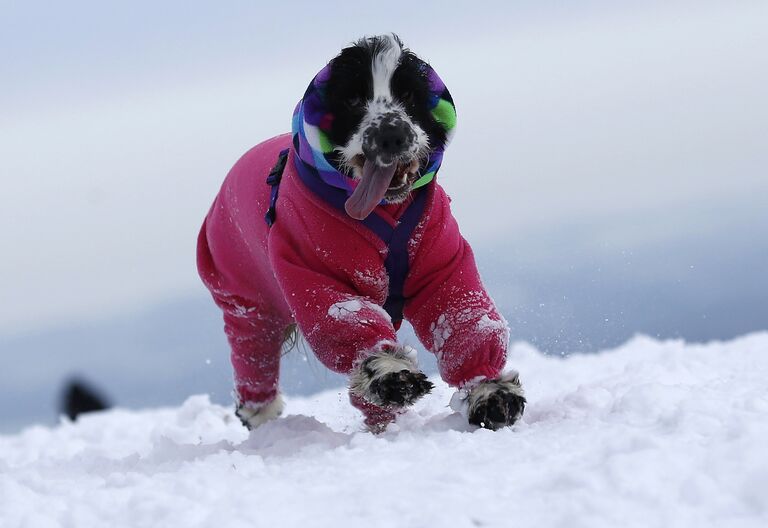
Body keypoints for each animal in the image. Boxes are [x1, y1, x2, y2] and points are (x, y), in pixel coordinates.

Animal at [195, 35, 524, 434]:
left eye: (409, 94)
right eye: (352, 99)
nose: (391, 135)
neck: (385, 209)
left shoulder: (442, 262)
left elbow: (462, 314)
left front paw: (491, 393)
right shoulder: (315, 269)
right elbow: (347, 318)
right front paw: (392, 374)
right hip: (247, 305)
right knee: (253, 360)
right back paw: (263, 418)